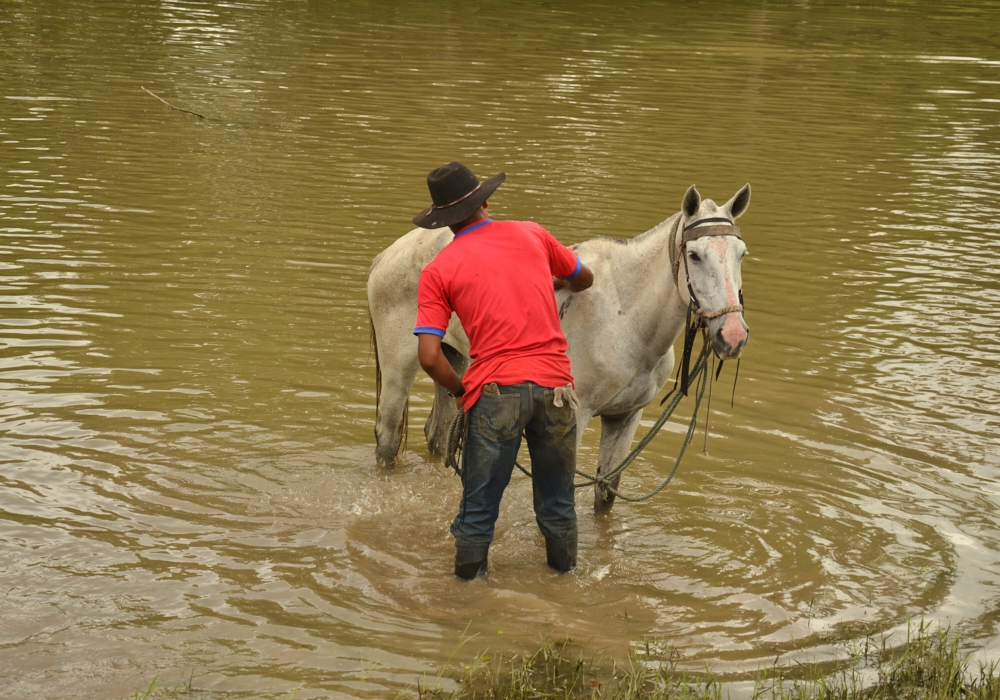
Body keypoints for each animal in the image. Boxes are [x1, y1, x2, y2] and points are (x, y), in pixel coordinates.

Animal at [368, 185, 752, 516]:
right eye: (694, 255)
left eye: (741, 254)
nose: (732, 335)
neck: (625, 317)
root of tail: (389, 254)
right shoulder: (573, 417)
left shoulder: (626, 417)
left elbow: (605, 495)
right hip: (399, 367)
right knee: (387, 439)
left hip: (453, 362)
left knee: (438, 435)